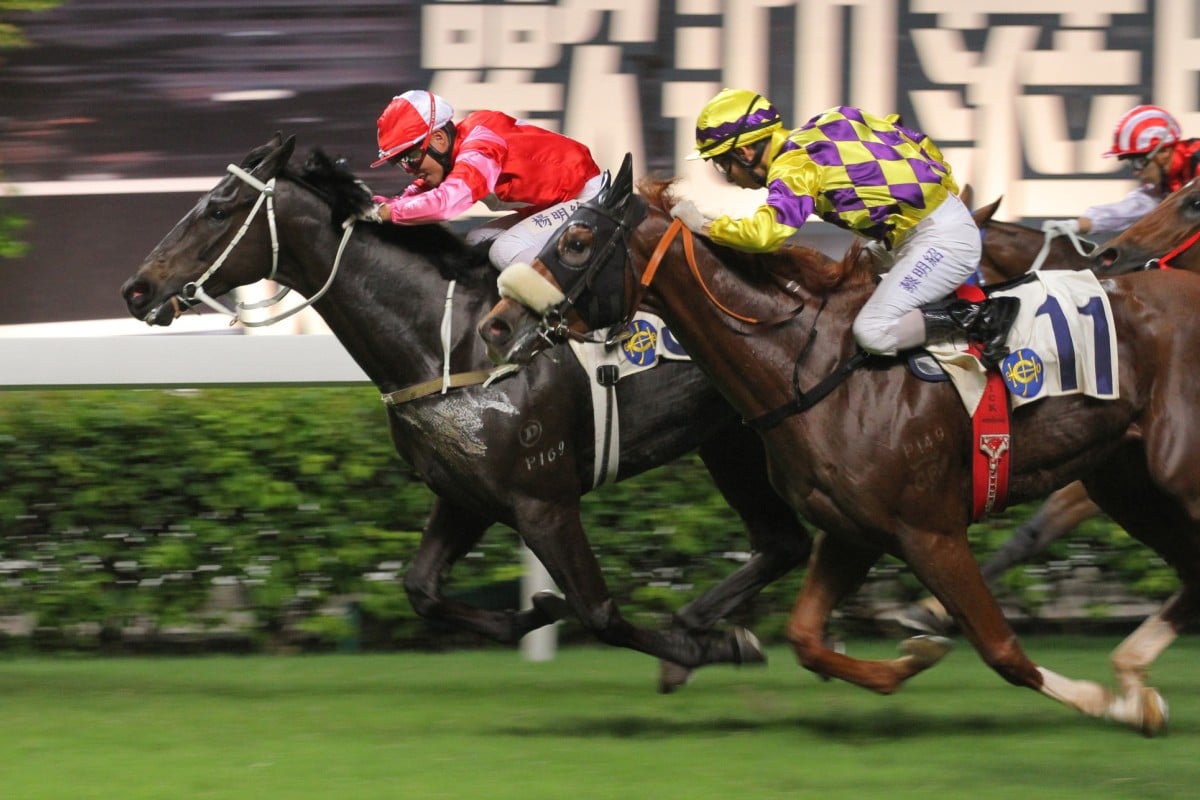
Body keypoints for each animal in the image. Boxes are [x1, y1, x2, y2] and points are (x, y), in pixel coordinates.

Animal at [119, 133, 816, 690]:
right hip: (732, 437)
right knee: (782, 542)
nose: (136, 288)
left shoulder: (543, 499)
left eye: (217, 208)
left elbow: (600, 612)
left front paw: (706, 647)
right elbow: (422, 590)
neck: (448, 340)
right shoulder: (464, 492)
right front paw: (538, 611)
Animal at [475, 164, 1200, 738]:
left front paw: (1110, 704)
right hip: (1128, 484)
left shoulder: (930, 531)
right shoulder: (854, 530)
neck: (812, 365)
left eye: (574, 241)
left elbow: (1002, 651)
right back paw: (1132, 669)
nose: (496, 324)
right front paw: (905, 660)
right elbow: (805, 640)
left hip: (1173, 475)